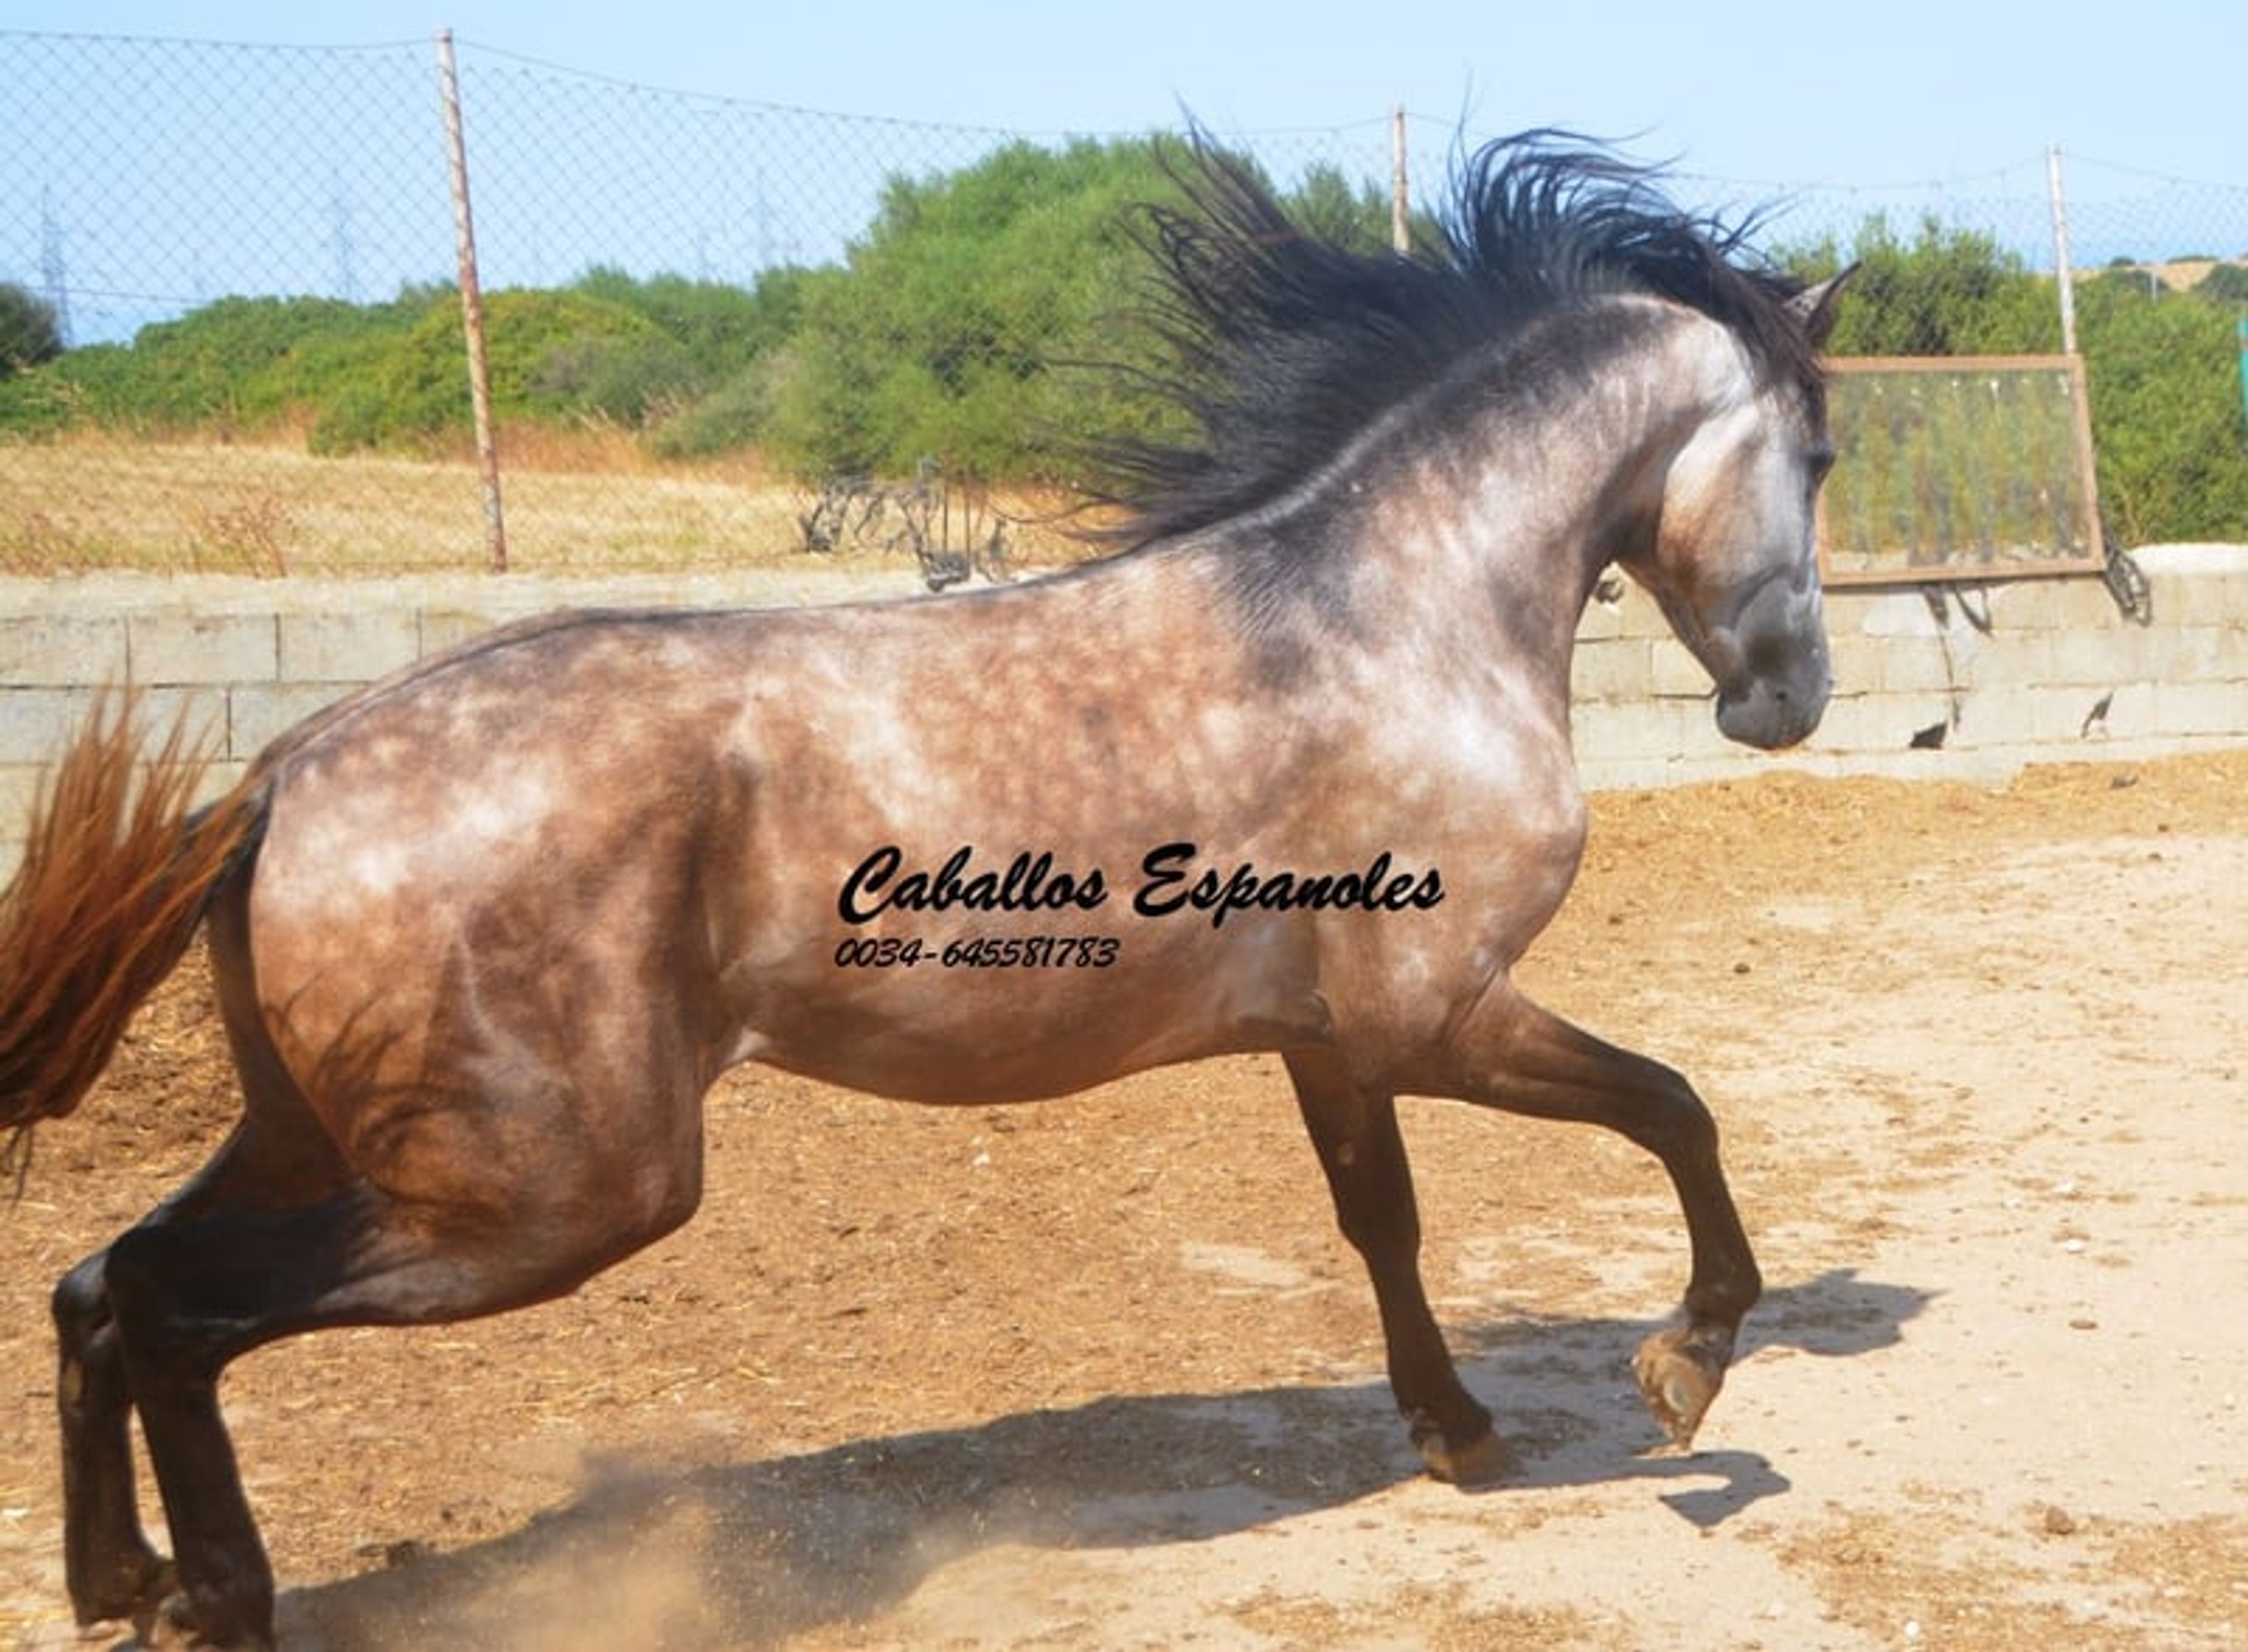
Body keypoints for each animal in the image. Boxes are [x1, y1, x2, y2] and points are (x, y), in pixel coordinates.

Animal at [1, 133, 1846, 1649]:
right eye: (1819, 454)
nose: (1791, 699)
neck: (1390, 616)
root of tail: (282, 777)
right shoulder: (1442, 1012)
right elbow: (1676, 1108)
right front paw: (1684, 1371)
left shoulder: (1333, 1036)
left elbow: (1381, 1219)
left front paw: (1456, 1429)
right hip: (550, 1190)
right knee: (171, 1312)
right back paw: (219, 1600)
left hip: (334, 1135)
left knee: (97, 1284)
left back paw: (122, 1583)